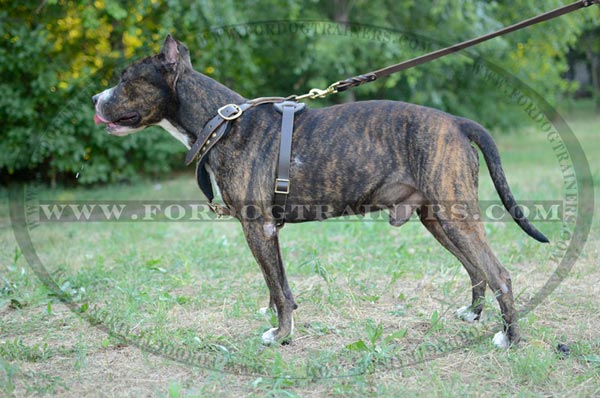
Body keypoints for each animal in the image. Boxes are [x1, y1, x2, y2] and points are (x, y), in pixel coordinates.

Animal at [91, 36, 548, 348]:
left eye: (126, 80)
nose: (95, 97)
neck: (223, 123)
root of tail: (456, 122)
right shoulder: (266, 232)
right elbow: (277, 284)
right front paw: (280, 323)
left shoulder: (258, 229)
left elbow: (279, 288)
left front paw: (280, 336)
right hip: (436, 217)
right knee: (476, 270)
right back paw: (473, 315)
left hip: (455, 215)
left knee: (499, 273)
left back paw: (510, 338)